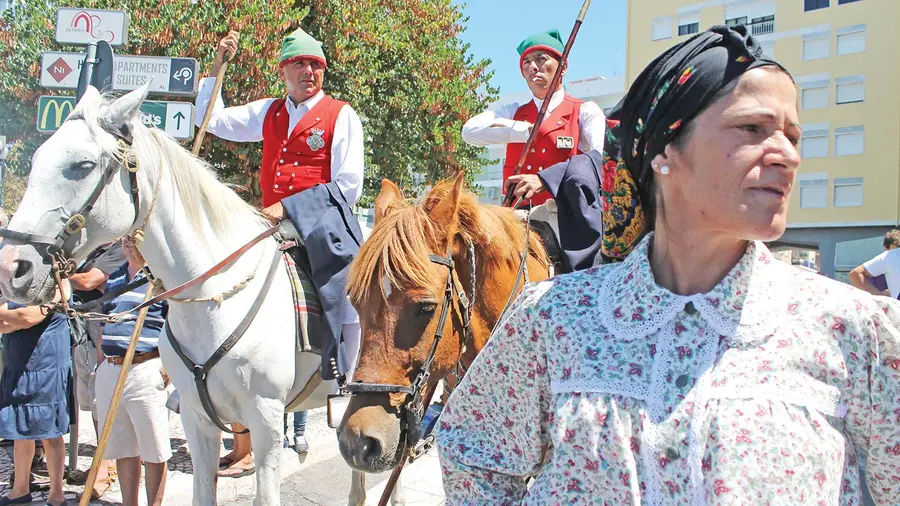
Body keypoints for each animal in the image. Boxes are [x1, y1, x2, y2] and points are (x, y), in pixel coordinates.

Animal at [0, 85, 404, 504]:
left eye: (82, 165)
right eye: (37, 159)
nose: (13, 268)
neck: (213, 298)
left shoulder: (266, 418)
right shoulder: (197, 420)